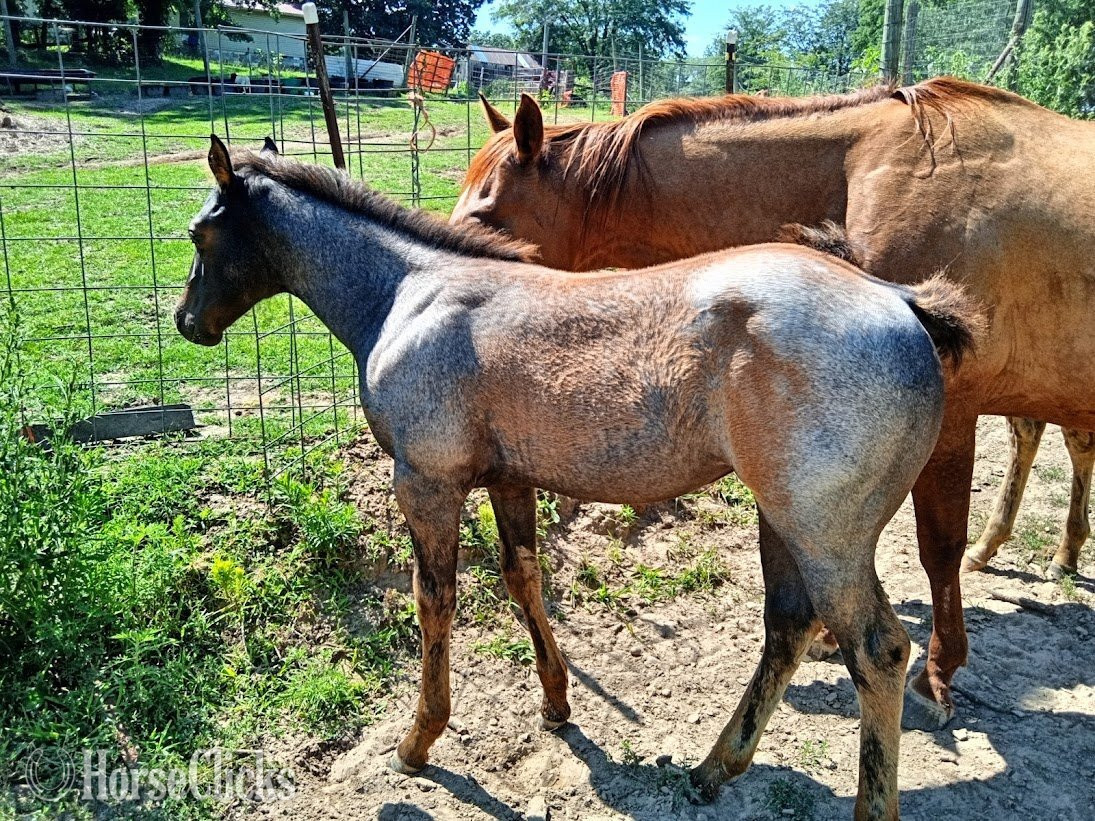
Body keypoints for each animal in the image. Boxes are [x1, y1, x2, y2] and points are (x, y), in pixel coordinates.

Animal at [178, 136, 978, 819]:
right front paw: (557, 704)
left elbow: (434, 602)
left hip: (826, 533)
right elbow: (522, 575)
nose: (188, 321)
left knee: (877, 651)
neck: (408, 293)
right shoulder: (508, 479)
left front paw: (419, 739)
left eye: (197, 235)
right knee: (787, 626)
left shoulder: (425, 482)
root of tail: (899, 299)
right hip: (781, 516)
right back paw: (712, 768)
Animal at [450, 79, 1095, 728]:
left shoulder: (953, 415)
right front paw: (835, 638)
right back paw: (1053, 550)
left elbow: (937, 549)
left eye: (487, 215)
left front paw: (938, 673)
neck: (866, 171)